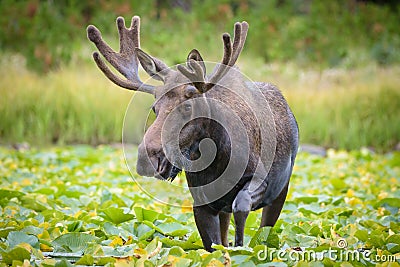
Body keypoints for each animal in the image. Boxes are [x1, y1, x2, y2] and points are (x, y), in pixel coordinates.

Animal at [88, 15, 300, 252]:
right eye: (154, 108)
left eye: (188, 106)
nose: (147, 158)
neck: (218, 162)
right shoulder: (202, 203)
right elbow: (214, 246)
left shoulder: (261, 180)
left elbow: (241, 205)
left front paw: (240, 246)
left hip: (282, 188)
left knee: (265, 227)